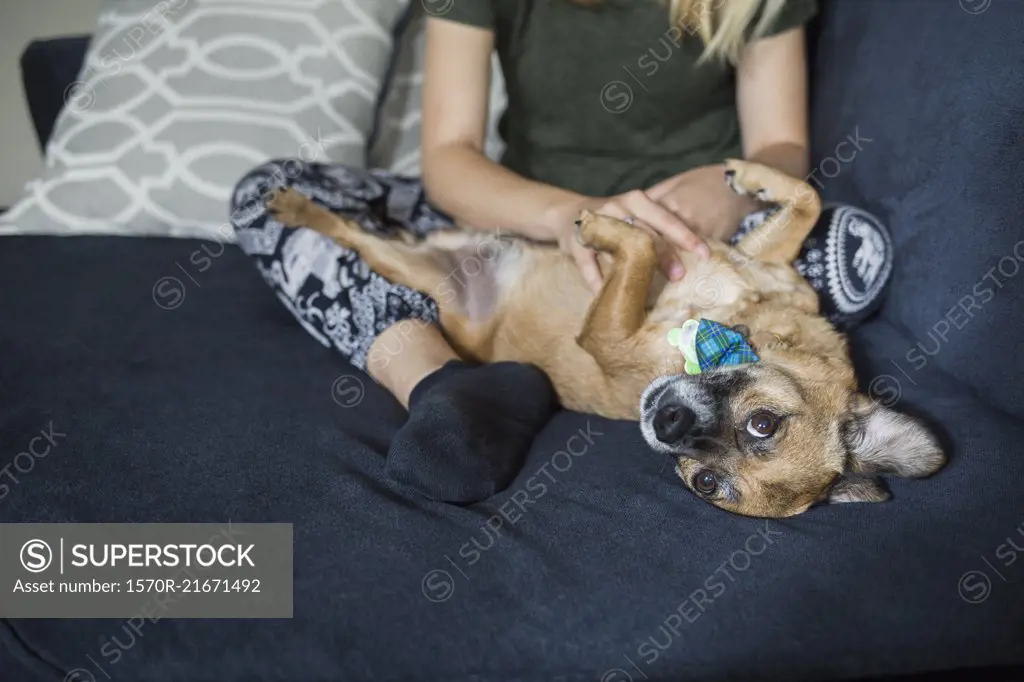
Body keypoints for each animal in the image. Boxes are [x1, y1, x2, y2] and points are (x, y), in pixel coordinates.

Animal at [264, 159, 942, 516]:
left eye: (704, 484)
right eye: (763, 424)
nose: (666, 423)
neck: (742, 323)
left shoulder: (606, 335)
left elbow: (637, 248)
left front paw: (603, 226)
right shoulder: (750, 254)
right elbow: (805, 197)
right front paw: (748, 178)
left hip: (408, 270)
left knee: (356, 238)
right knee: (357, 228)